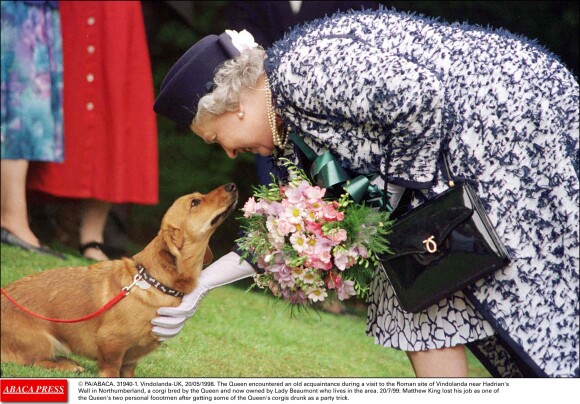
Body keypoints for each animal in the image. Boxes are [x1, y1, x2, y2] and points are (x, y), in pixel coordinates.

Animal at [1, 183, 238, 376]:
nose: (232, 186)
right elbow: (111, 369)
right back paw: (66, 366)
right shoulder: (111, 345)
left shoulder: (131, 360)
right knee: (36, 361)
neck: (153, 281)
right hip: (43, 342)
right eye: (195, 202)